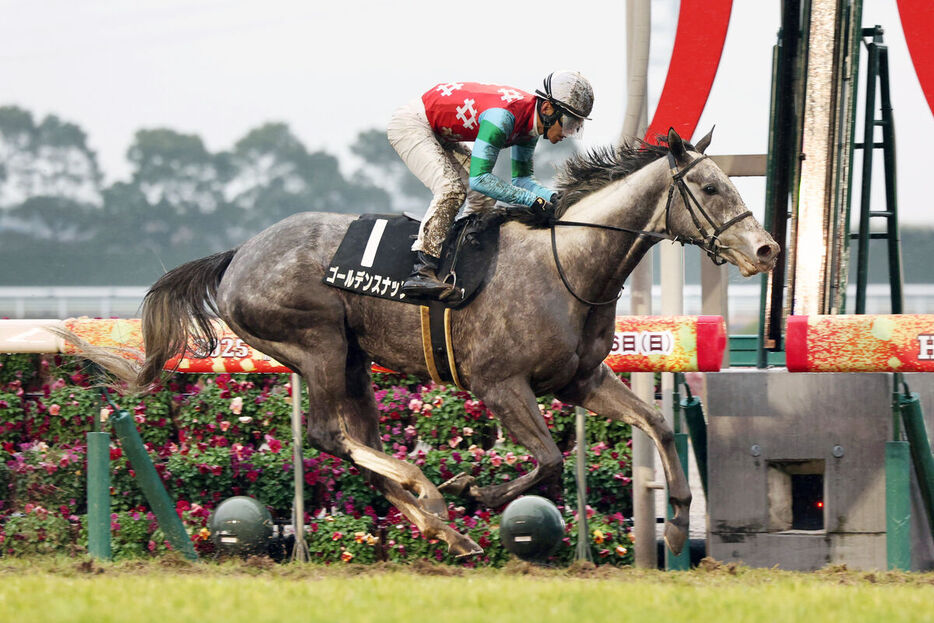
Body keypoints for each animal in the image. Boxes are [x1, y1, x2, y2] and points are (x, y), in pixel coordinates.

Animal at [82, 129, 784, 560]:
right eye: (712, 188)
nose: (767, 249)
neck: (569, 264)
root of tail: (236, 256)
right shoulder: (500, 385)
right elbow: (550, 460)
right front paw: (477, 490)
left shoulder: (580, 380)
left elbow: (657, 426)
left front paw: (681, 519)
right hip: (318, 343)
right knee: (331, 435)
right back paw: (434, 497)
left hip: (353, 359)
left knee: (357, 438)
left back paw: (438, 522)